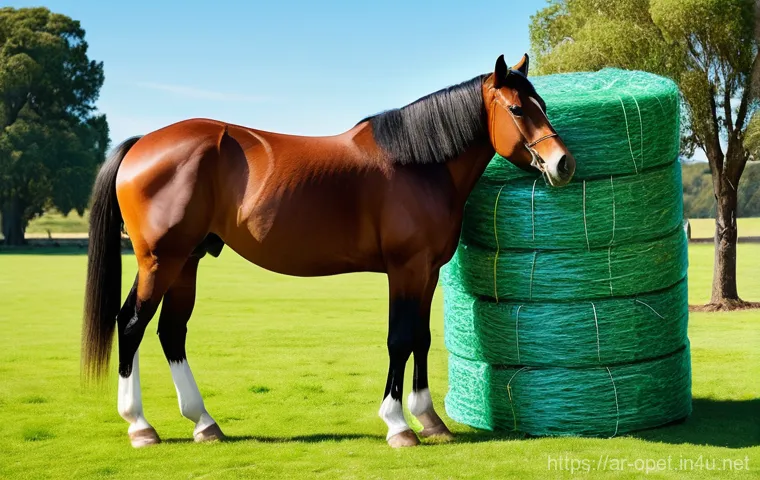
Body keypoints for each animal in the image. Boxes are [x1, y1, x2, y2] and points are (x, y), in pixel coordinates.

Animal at [81, 53, 575, 448]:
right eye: (517, 108)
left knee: (171, 332)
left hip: (188, 260)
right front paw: (399, 425)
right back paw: (140, 426)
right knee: (132, 323)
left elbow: (421, 337)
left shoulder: (428, 270)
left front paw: (430, 420)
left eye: (544, 106)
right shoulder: (405, 269)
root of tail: (142, 144)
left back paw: (204, 423)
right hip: (160, 260)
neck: (418, 165)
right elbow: (400, 339)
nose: (563, 164)